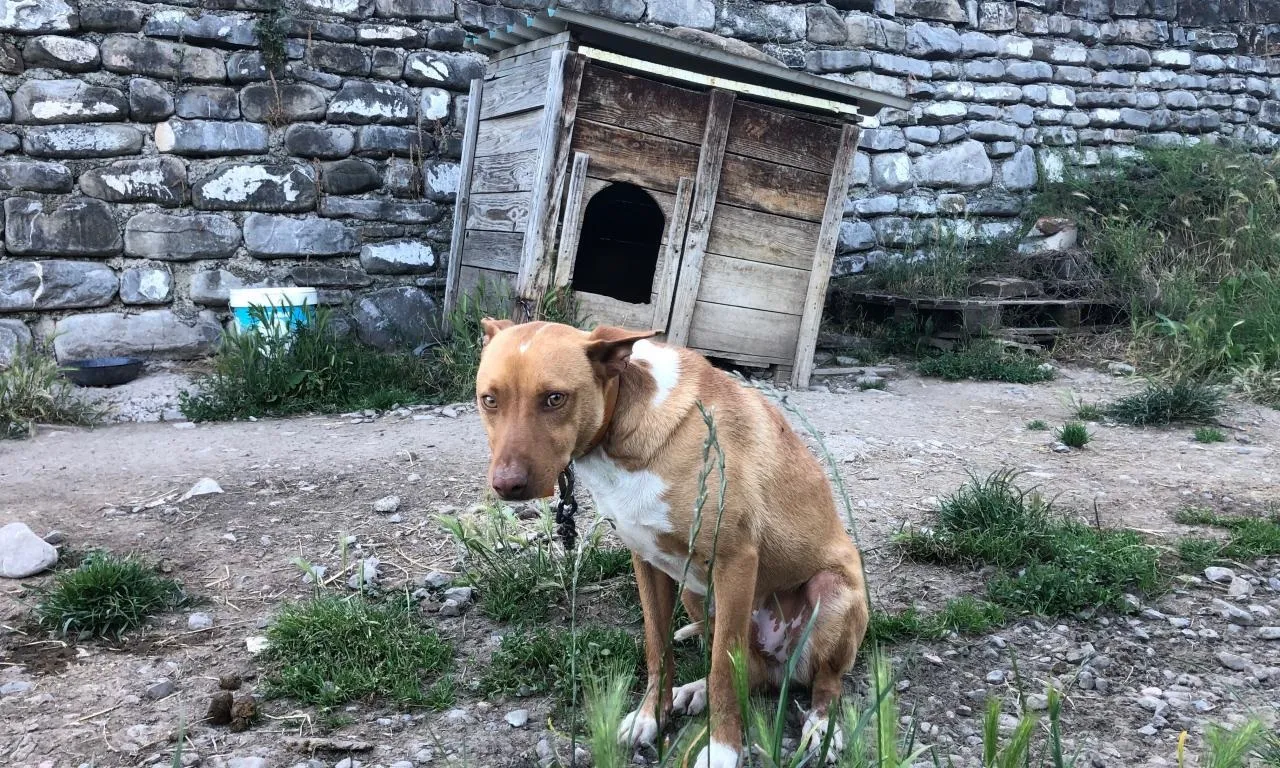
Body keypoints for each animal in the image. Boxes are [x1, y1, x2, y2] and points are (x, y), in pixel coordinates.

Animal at [478, 320, 870, 768]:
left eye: (555, 398)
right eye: (489, 400)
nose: (506, 486)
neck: (622, 430)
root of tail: (781, 662)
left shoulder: (735, 562)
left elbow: (724, 670)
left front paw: (721, 750)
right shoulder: (647, 561)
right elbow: (657, 647)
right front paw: (652, 716)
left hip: (829, 593)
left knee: (826, 683)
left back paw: (822, 728)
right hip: (697, 595)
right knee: (753, 672)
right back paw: (695, 690)